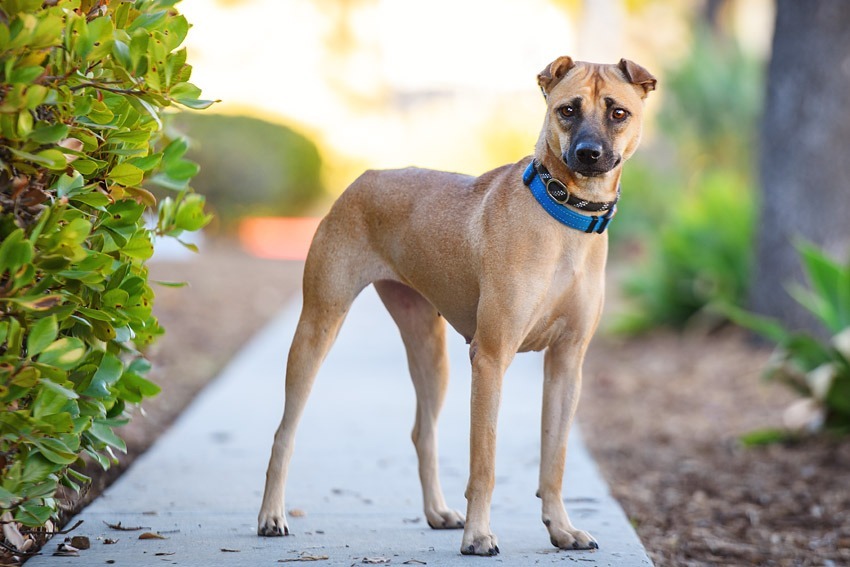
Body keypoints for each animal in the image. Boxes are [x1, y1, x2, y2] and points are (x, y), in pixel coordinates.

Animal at [258, 56, 656, 556]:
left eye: (618, 112)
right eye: (568, 109)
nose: (588, 153)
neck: (561, 216)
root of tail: (365, 177)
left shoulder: (567, 364)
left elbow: (555, 458)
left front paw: (561, 528)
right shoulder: (491, 358)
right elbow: (483, 462)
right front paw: (479, 535)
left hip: (430, 352)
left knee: (422, 433)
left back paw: (437, 512)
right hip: (318, 326)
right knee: (283, 432)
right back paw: (271, 515)